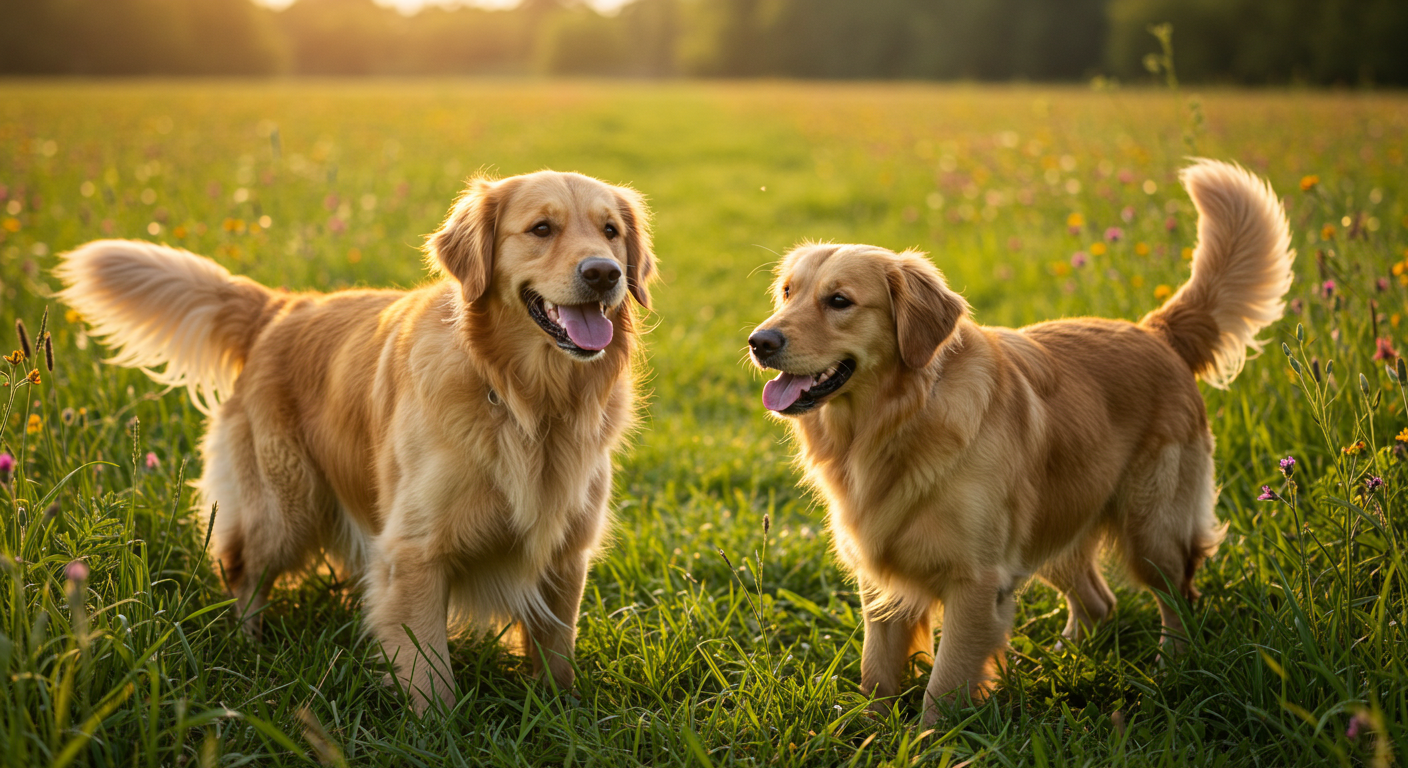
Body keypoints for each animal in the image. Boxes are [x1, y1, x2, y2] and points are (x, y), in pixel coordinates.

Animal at [51, 169, 653, 713]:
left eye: (610, 231)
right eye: (541, 228)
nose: (604, 273)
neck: (525, 399)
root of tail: (279, 306)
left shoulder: (566, 554)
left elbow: (556, 652)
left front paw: (561, 713)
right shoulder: (414, 552)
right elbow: (429, 673)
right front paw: (436, 736)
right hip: (284, 506)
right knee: (244, 571)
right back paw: (248, 649)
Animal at [754, 158, 1289, 721]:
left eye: (839, 301)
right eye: (787, 292)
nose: (759, 341)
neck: (897, 421)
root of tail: (1155, 331)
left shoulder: (976, 581)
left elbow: (943, 685)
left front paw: (931, 735)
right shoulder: (881, 580)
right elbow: (875, 671)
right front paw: (869, 729)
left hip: (1153, 528)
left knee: (1180, 599)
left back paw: (1170, 673)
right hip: (1058, 522)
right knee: (1099, 602)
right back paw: (1063, 661)